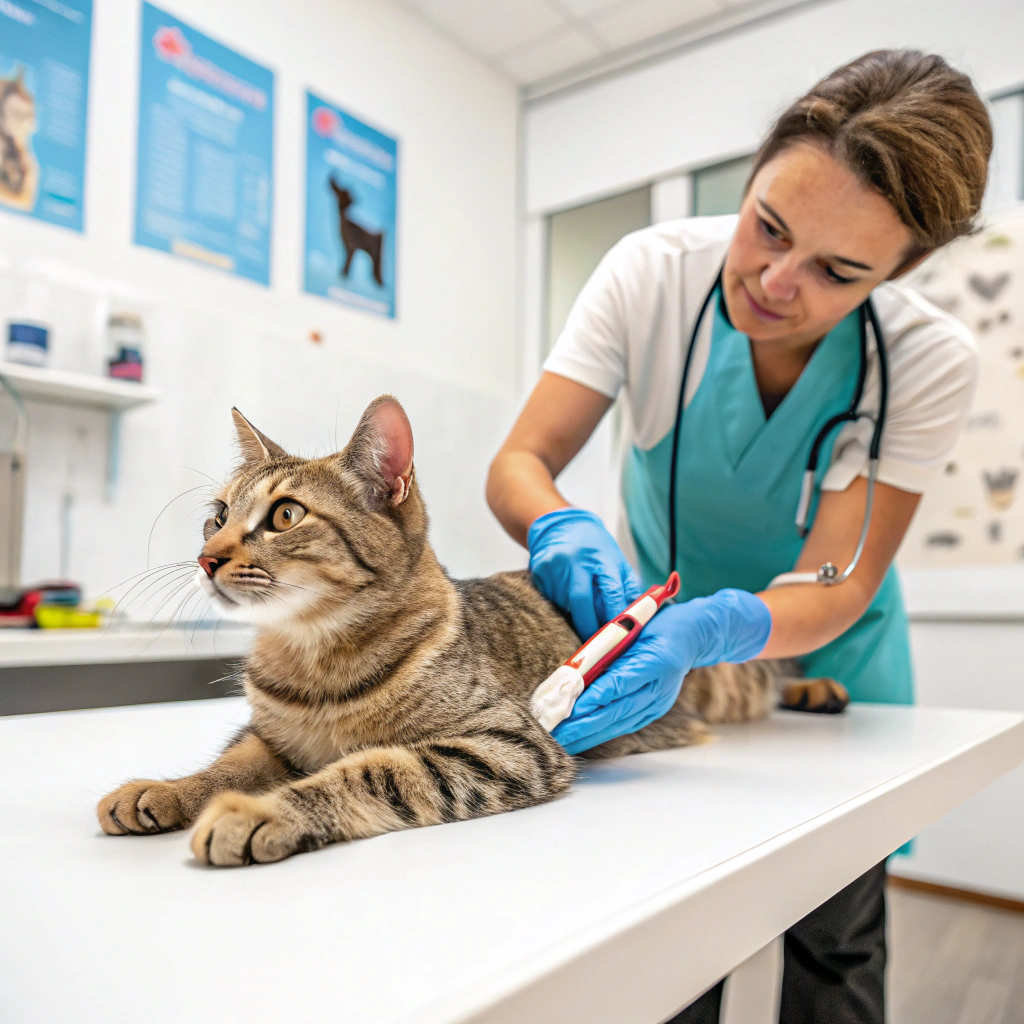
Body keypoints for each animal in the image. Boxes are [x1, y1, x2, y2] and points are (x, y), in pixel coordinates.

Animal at [97, 395, 847, 868]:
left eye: (284, 516)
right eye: (217, 515)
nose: (206, 556)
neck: (312, 655)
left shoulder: (506, 746)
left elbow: (370, 771)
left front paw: (265, 813)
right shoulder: (271, 737)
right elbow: (228, 764)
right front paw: (167, 790)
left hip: (719, 669)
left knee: (769, 662)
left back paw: (820, 689)